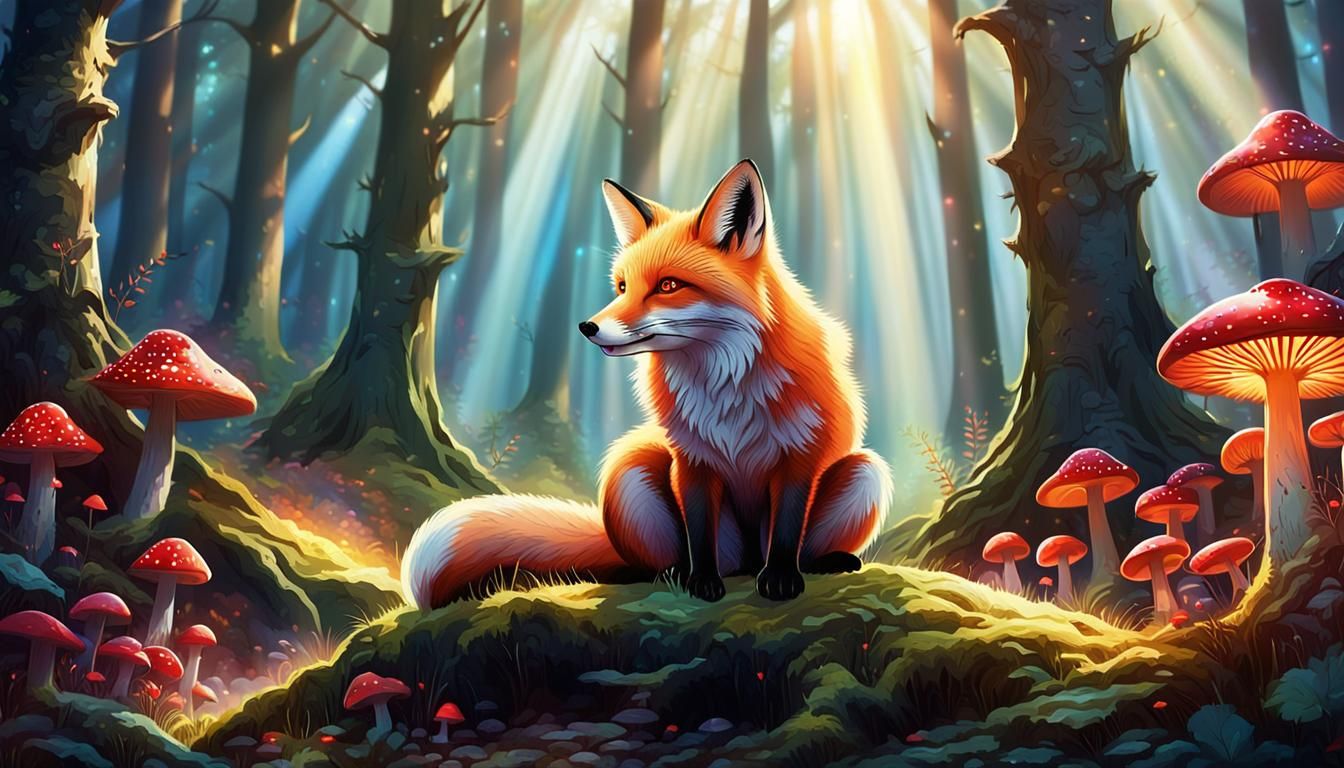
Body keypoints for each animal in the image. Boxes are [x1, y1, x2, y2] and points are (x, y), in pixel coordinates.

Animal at [403, 159, 891, 609]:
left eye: (669, 285)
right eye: (622, 286)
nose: (587, 327)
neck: (724, 389)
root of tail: (748, 557)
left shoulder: (800, 456)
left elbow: (789, 531)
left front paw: (781, 579)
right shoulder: (691, 460)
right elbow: (699, 533)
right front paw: (702, 582)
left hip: (866, 471)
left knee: (800, 543)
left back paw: (826, 560)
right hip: (629, 470)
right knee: (652, 563)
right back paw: (676, 572)